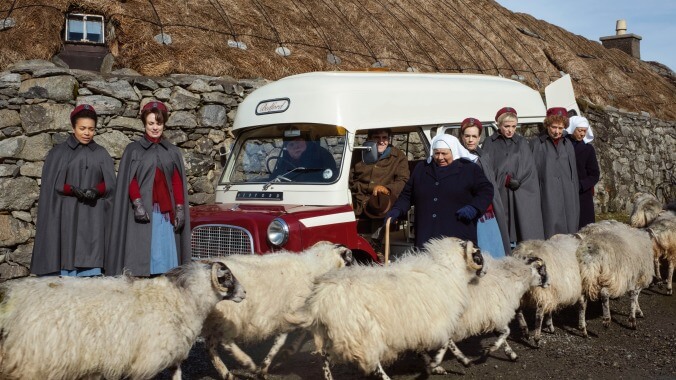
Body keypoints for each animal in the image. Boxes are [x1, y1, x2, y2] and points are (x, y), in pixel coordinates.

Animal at [0, 262, 246, 380]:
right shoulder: (146, 360)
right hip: (34, 364)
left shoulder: (172, 353)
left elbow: (177, 375)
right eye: (226, 278)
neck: (179, 299)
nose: (244, 293)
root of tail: (16, 302)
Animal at [201, 242, 354, 378]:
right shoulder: (295, 310)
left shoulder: (289, 313)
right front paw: (275, 360)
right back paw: (246, 362)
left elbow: (287, 338)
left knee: (210, 347)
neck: (316, 267)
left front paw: (269, 364)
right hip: (230, 315)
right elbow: (289, 337)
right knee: (225, 341)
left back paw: (226, 373)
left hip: (213, 319)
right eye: (350, 261)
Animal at [288, 238, 484, 380]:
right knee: (371, 363)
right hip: (364, 334)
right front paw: (438, 363)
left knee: (325, 357)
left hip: (342, 334)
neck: (448, 270)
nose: (484, 272)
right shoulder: (437, 320)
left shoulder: (417, 324)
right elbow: (445, 343)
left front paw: (451, 362)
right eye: (478, 255)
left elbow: (439, 344)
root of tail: (320, 298)